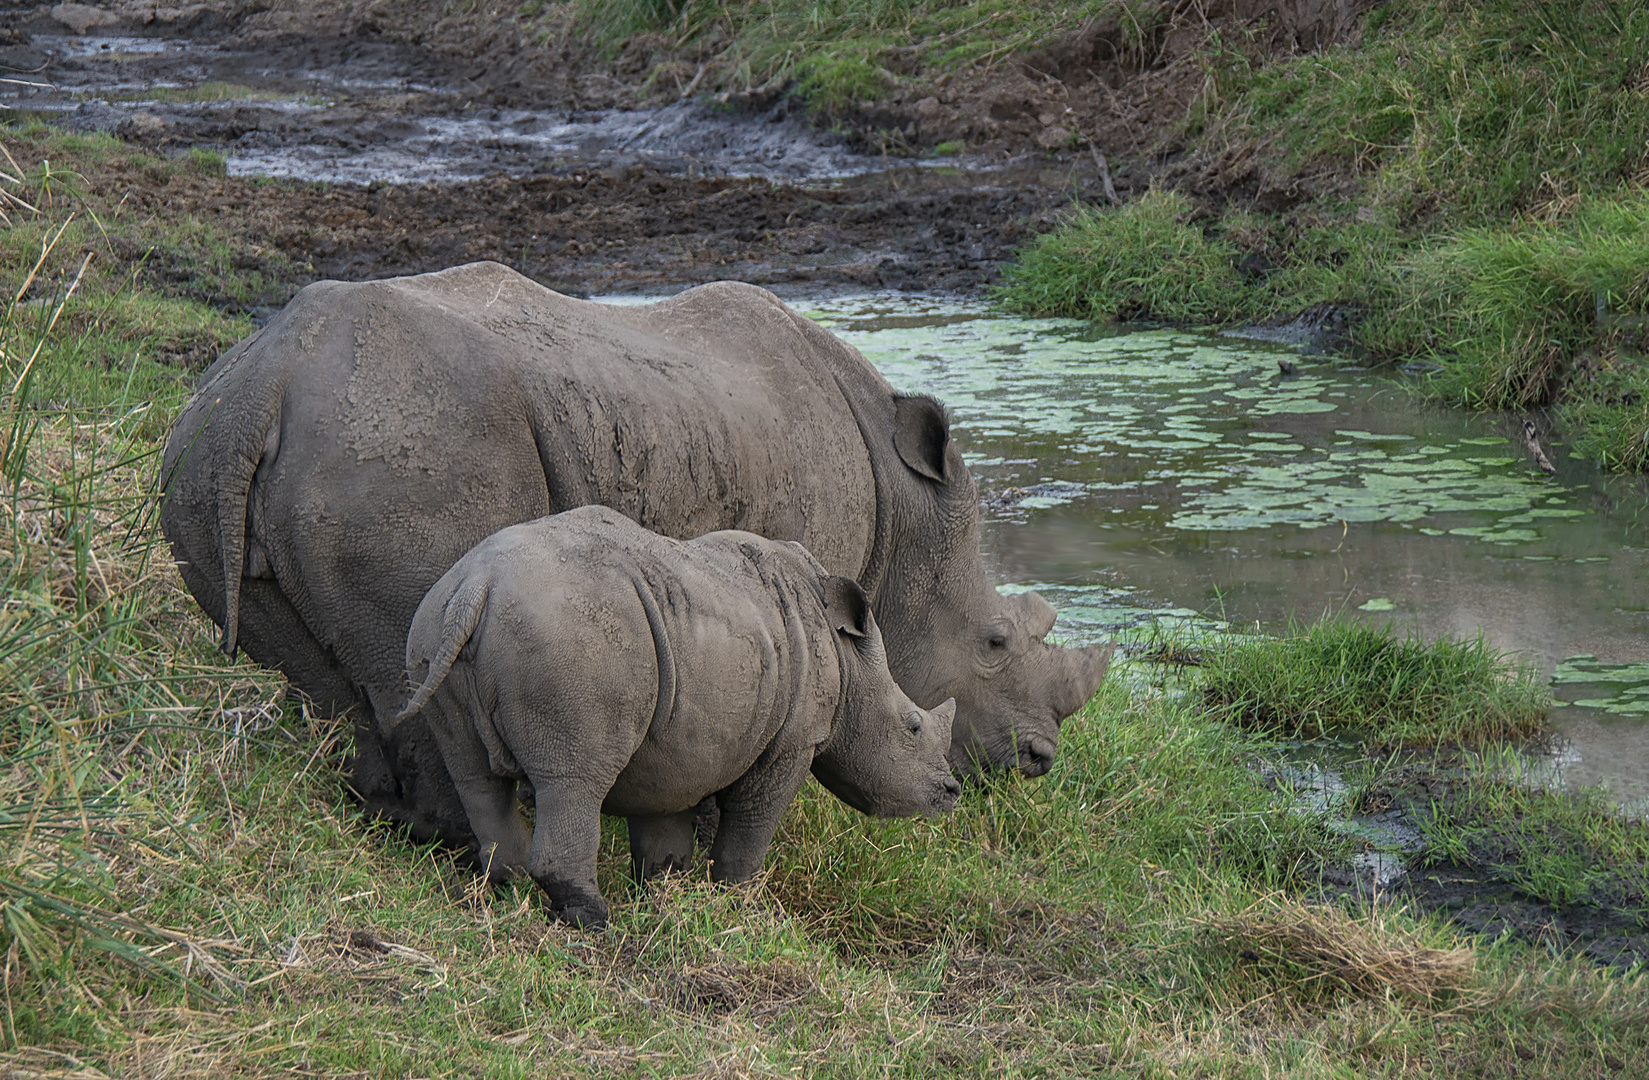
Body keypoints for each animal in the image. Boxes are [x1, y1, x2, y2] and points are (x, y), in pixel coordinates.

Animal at [160, 262, 1114, 850]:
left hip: (212, 463)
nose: (1038, 762)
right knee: (409, 666)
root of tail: (267, 386)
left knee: (333, 684)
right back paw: (480, 846)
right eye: (994, 642)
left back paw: (400, 820)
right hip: (398, 444)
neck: (904, 510)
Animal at [395, 507, 956, 929]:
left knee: (476, 776)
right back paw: (593, 920)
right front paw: (740, 901)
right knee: (574, 779)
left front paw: (667, 888)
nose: (951, 794)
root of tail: (477, 586)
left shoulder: (677, 739)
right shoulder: (793, 740)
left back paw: (507, 893)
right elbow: (754, 820)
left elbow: (662, 810)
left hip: (434, 626)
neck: (848, 655)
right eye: (912, 727)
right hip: (569, 639)